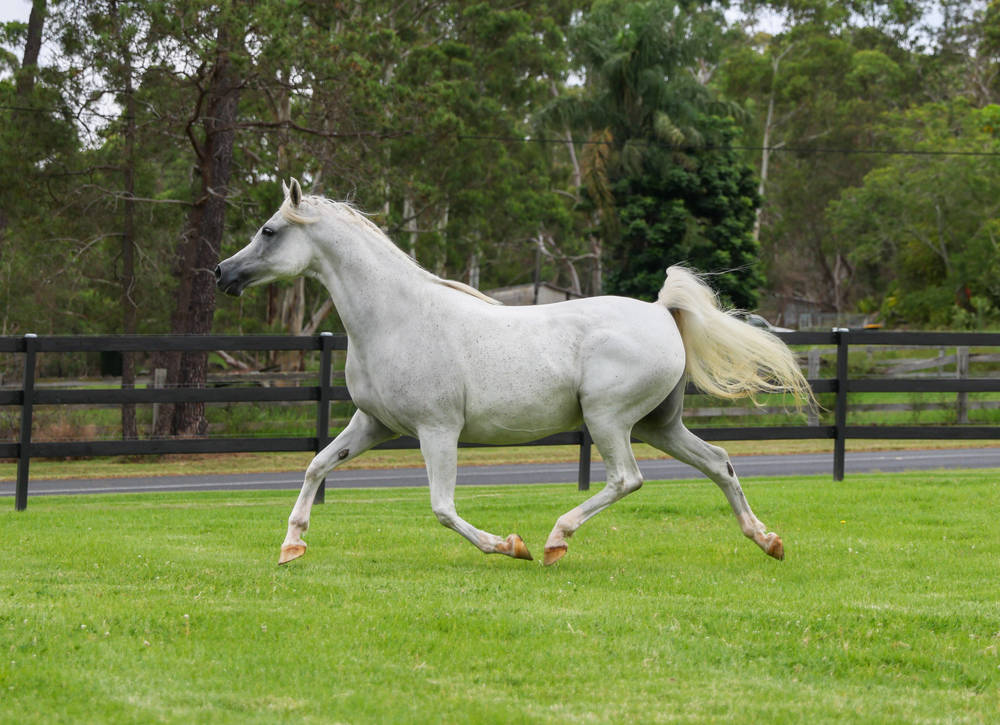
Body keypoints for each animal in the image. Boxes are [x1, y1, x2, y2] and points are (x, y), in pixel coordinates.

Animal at [215, 179, 812, 566]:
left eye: (269, 230)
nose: (222, 272)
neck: (398, 318)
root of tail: (663, 311)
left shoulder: (437, 431)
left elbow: (442, 508)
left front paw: (509, 545)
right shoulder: (373, 424)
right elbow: (316, 466)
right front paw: (292, 546)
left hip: (608, 420)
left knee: (627, 479)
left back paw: (553, 541)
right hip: (657, 424)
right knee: (719, 461)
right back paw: (768, 541)